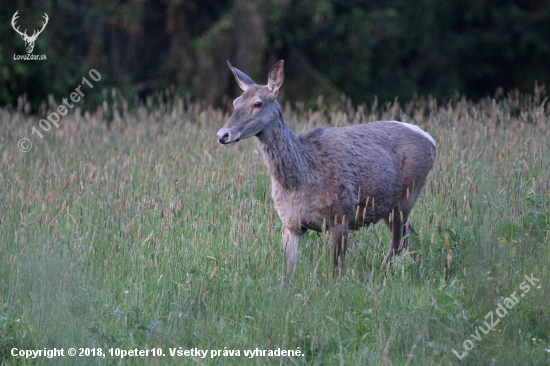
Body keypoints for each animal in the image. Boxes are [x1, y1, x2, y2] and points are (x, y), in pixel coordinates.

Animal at [218, 60, 438, 278]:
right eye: (235, 102)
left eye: (258, 103)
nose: (222, 135)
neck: (300, 178)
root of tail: (431, 140)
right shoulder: (291, 224)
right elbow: (288, 271)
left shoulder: (341, 215)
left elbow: (336, 271)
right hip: (390, 207)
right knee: (408, 238)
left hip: (407, 196)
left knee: (399, 241)